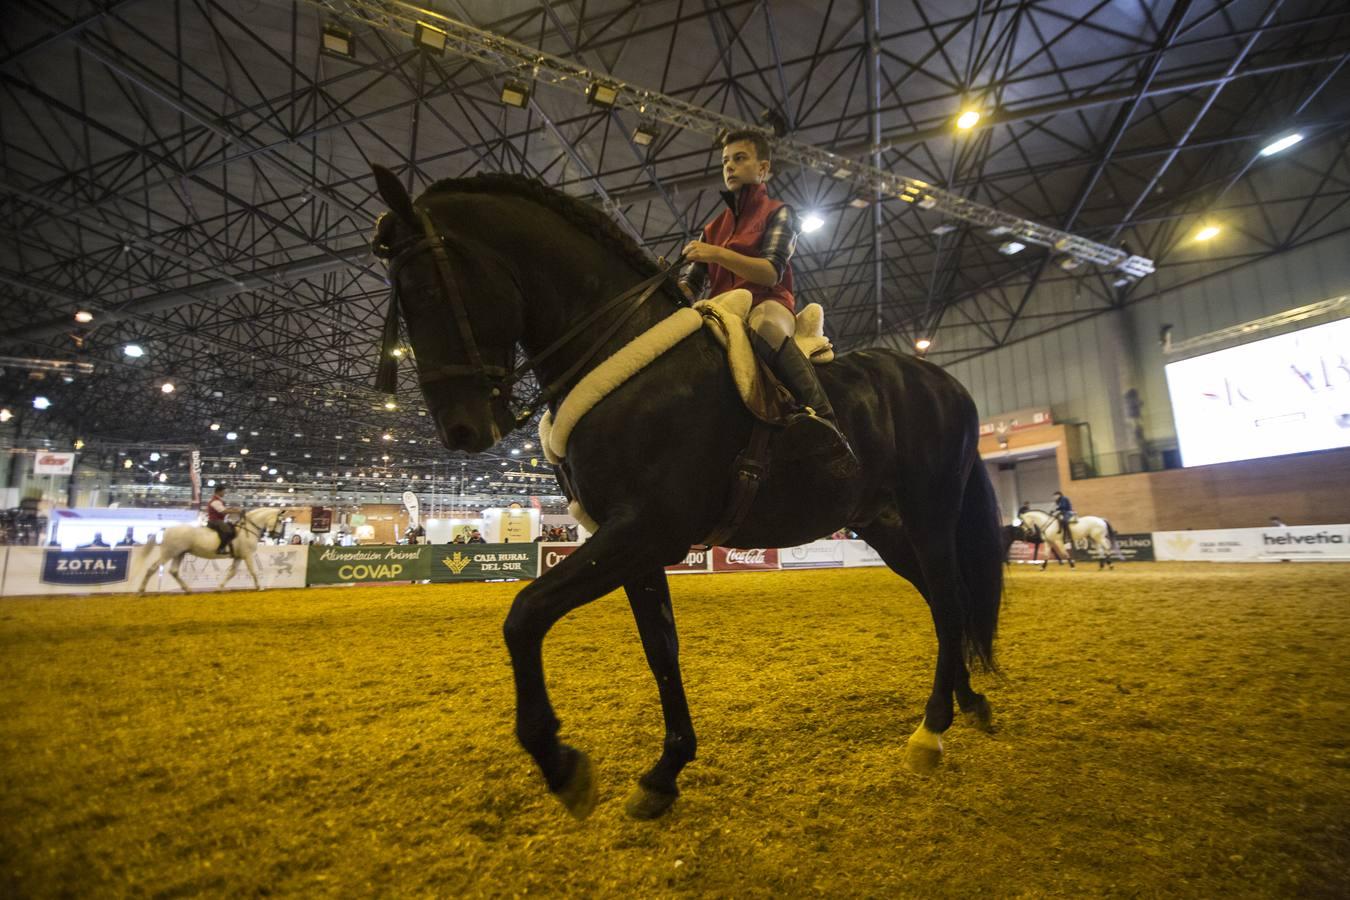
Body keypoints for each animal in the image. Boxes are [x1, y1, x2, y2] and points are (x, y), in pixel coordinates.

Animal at [138, 510, 286, 593]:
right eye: (280, 521)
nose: (276, 536)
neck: (247, 529)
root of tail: (167, 528)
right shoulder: (247, 555)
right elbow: (253, 571)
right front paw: (260, 587)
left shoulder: (238, 557)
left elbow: (232, 573)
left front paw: (219, 588)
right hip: (169, 553)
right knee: (152, 568)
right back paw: (141, 591)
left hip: (179, 554)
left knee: (173, 571)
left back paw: (188, 589)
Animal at [369, 165, 1004, 820]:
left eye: (424, 289)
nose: (461, 431)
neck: (625, 355)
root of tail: (944, 381)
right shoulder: (632, 544)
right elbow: (661, 650)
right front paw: (665, 770)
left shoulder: (646, 529)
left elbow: (525, 615)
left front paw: (560, 763)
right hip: (886, 526)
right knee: (944, 602)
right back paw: (968, 704)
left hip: (930, 515)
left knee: (949, 600)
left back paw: (932, 730)